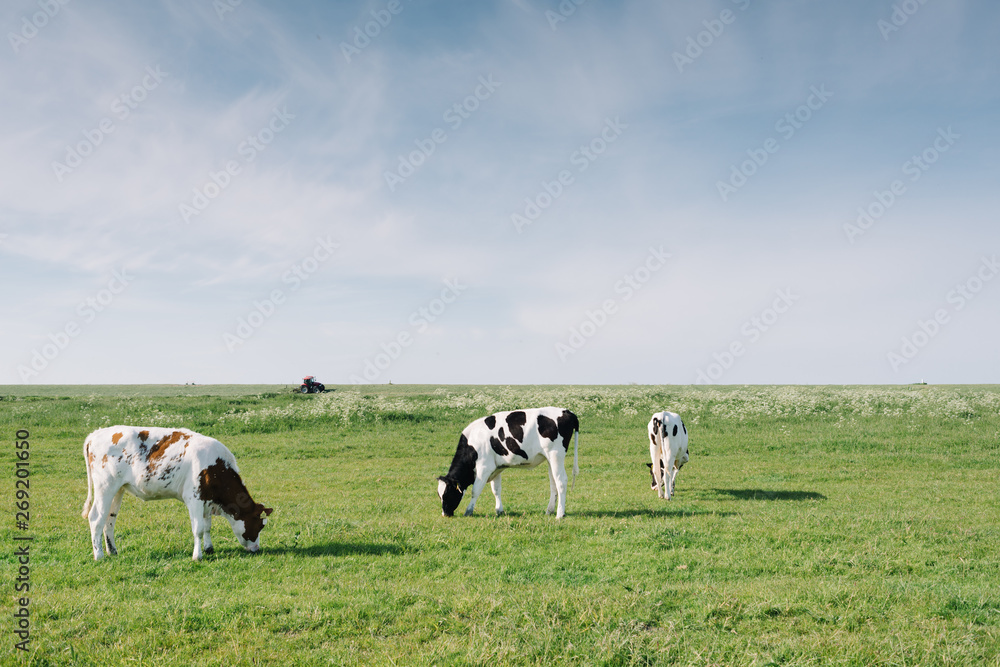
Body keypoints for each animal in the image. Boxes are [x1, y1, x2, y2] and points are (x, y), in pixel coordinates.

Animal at [436, 408, 580, 520]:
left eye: (448, 493)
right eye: (439, 495)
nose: (445, 514)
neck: (473, 443)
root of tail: (566, 411)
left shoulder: (484, 468)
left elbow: (475, 491)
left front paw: (468, 511)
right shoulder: (496, 467)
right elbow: (496, 490)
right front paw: (499, 510)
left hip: (556, 455)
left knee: (561, 481)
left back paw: (560, 514)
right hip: (550, 458)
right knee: (553, 483)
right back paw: (549, 510)